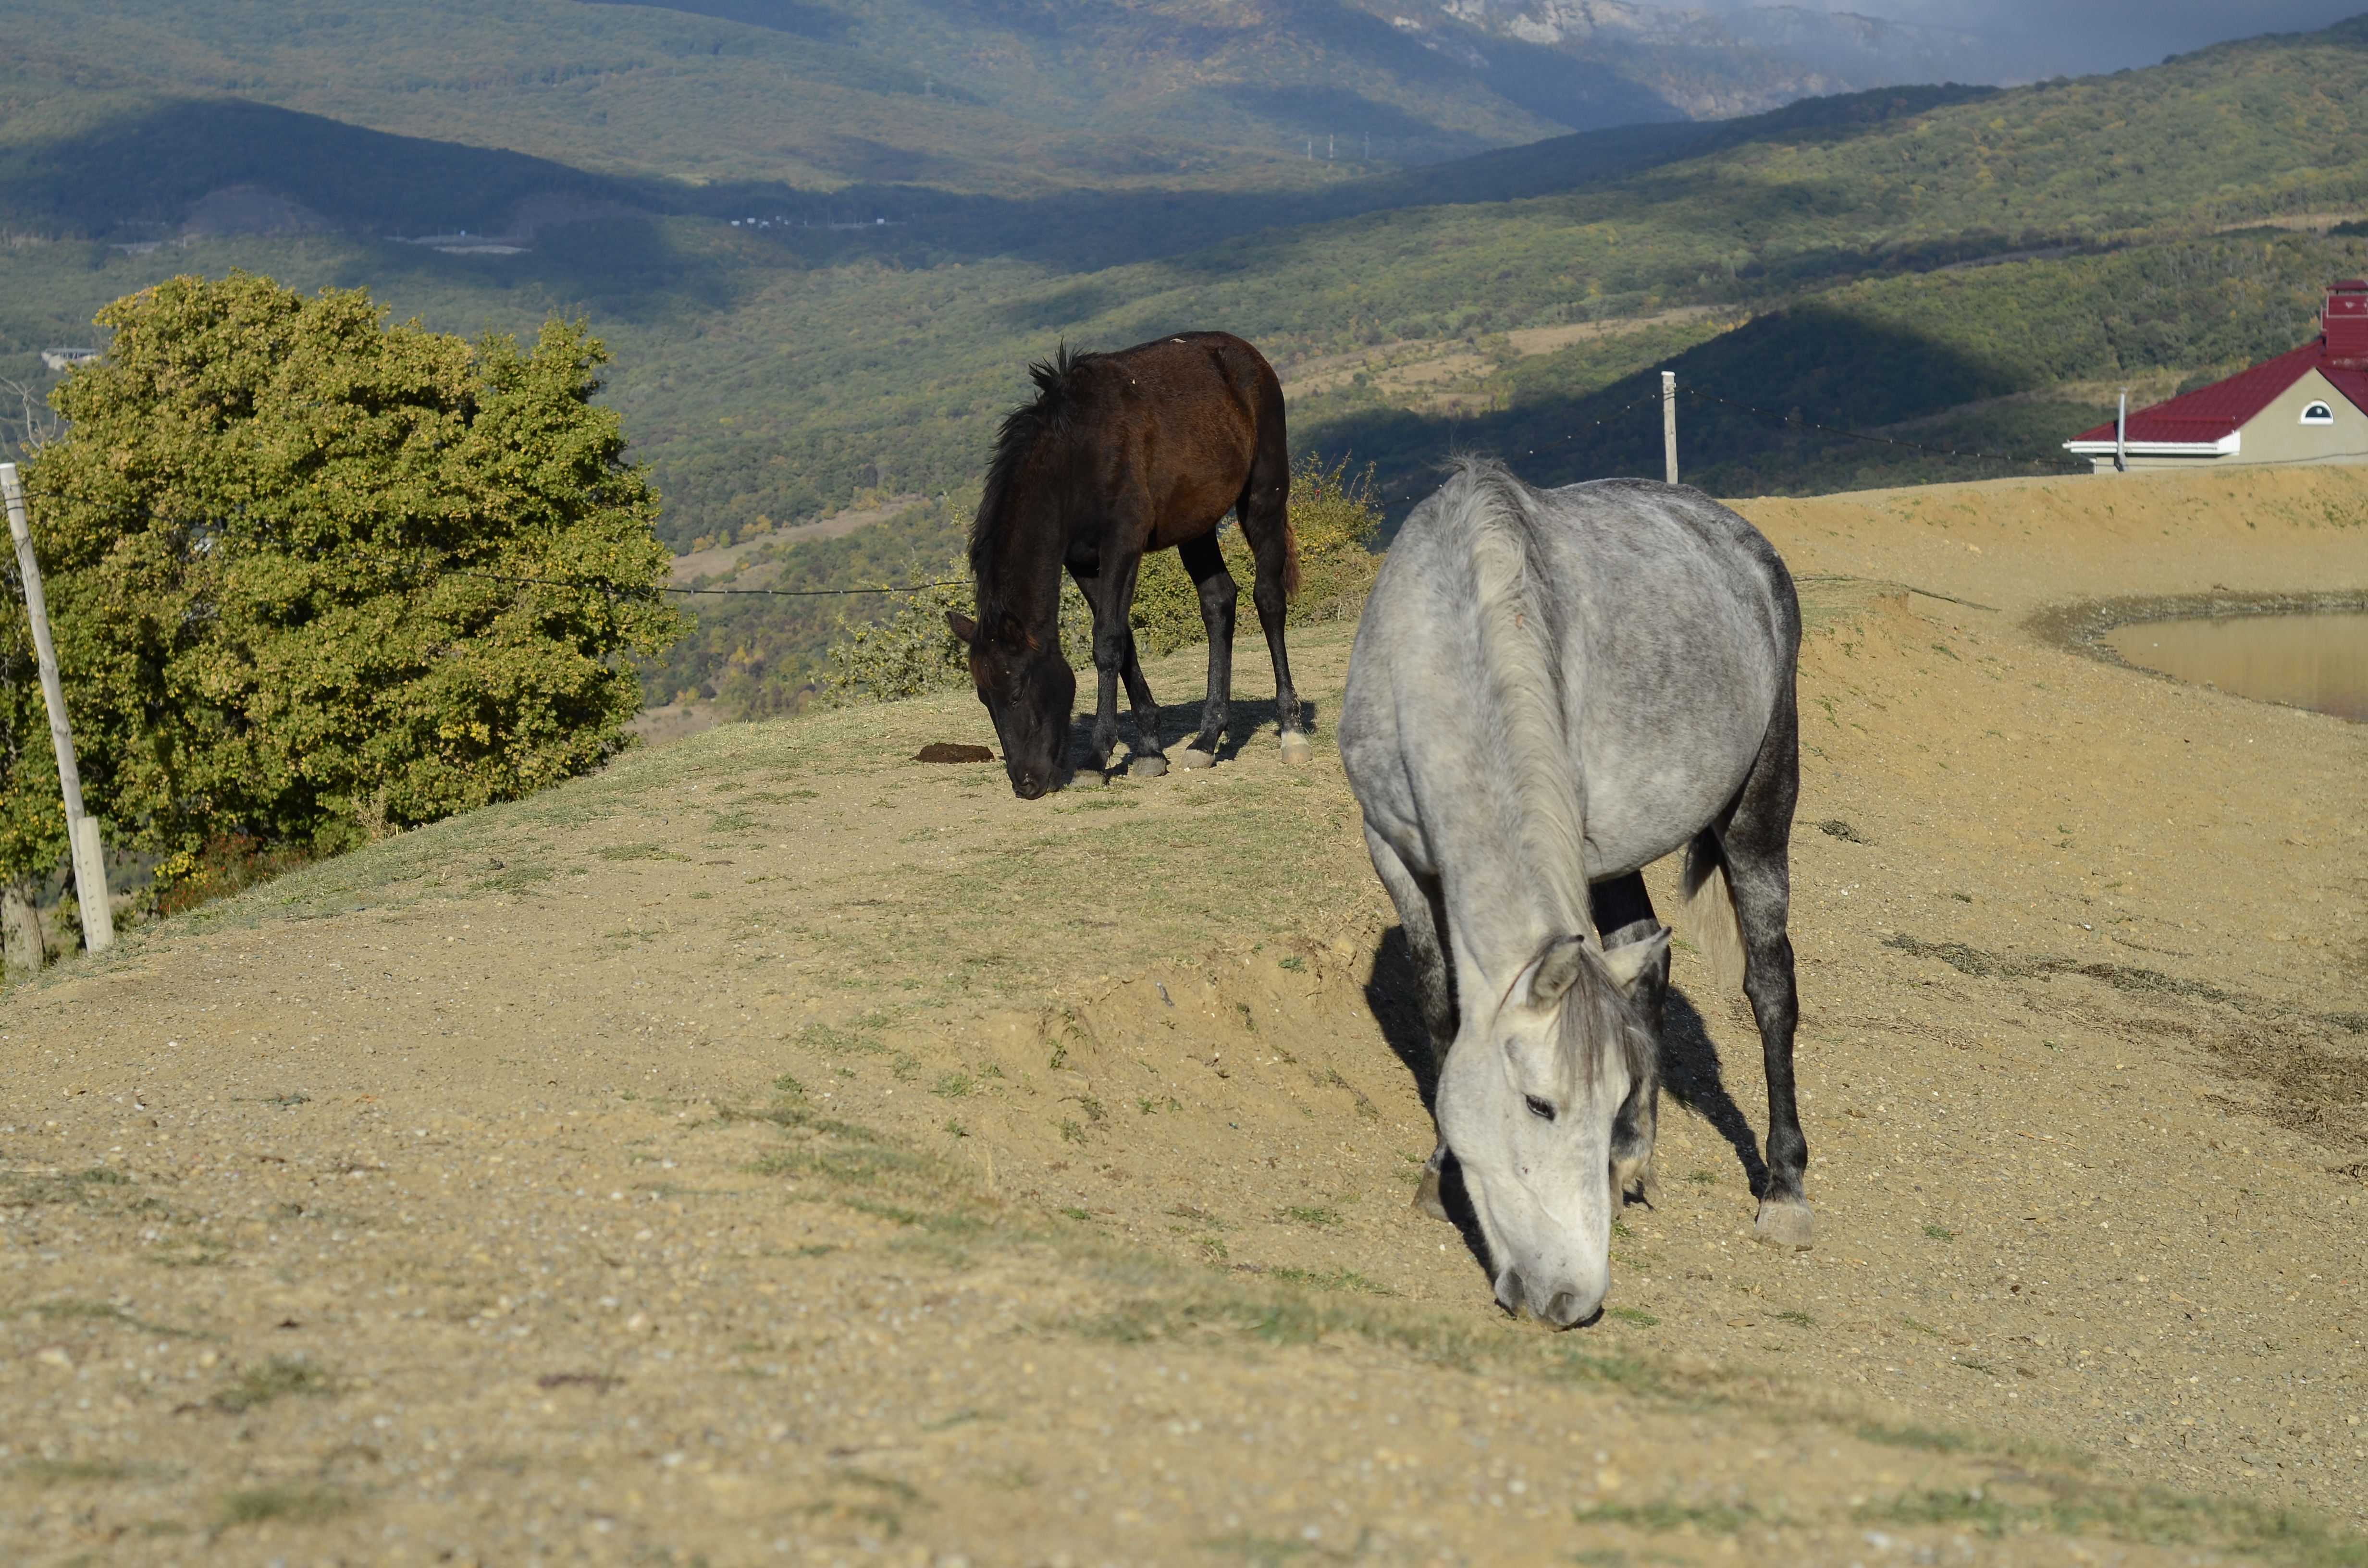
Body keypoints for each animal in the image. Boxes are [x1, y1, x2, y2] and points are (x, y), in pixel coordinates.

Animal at [947, 331, 1316, 800]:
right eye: (984, 699)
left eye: (1016, 693)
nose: (1027, 784)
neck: (1076, 455)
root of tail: (1250, 357)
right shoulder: (1082, 561)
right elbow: (1124, 643)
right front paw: (1150, 750)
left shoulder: (1122, 544)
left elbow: (1107, 643)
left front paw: (1096, 757)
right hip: (1196, 524)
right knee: (1218, 601)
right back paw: (1206, 739)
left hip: (1263, 499)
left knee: (1268, 600)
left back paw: (1291, 730)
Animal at [1335, 462, 1809, 1335]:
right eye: (1538, 1105)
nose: (1575, 1297)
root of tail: (1734, 534)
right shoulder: (1392, 851)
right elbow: (1442, 1010)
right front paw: (1438, 1175)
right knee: (1645, 966)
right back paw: (1634, 1162)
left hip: (1759, 808)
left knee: (1770, 988)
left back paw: (1784, 1190)